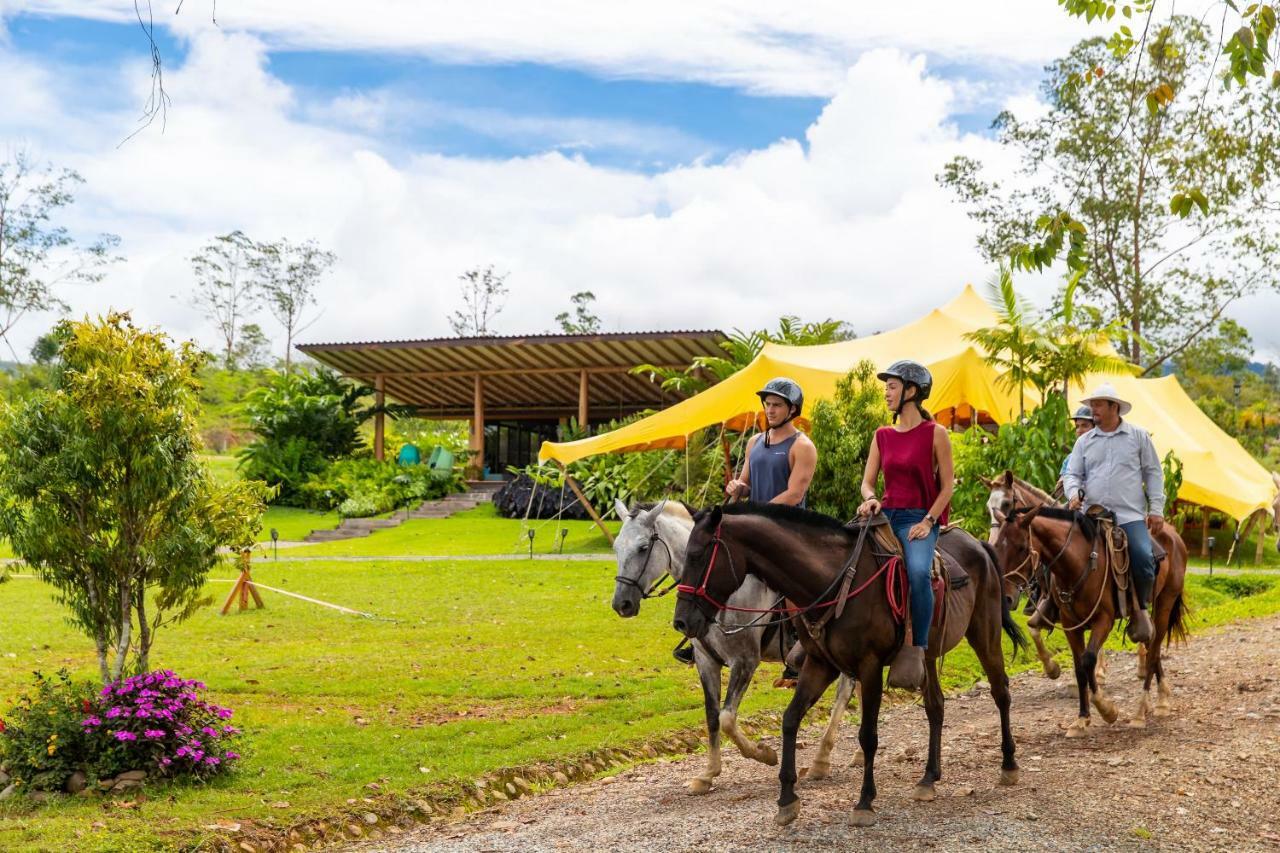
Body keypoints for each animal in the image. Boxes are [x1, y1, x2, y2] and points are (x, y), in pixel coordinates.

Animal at [611, 499, 860, 788]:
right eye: (616, 547)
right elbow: (712, 716)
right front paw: (708, 773)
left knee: (845, 690)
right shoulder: (706, 662)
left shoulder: (744, 662)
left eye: (643, 548)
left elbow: (727, 718)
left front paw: (764, 754)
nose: (621, 604)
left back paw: (824, 759)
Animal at [670, 502, 1018, 824]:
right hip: (928, 656)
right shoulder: (818, 664)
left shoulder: (869, 666)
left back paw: (1009, 765)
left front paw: (864, 802)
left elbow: (868, 734)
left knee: (1000, 692)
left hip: (985, 634)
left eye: (698, 556)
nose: (682, 622)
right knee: (936, 706)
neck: (834, 581)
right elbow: (789, 719)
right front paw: (786, 798)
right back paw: (929, 778)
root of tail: (978, 544)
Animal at [988, 468, 1187, 732]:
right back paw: (1160, 696)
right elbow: (1075, 663)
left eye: (1021, 547)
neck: (1077, 561)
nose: (1007, 597)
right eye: (999, 548)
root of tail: (1173, 534)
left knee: (1153, 650)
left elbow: (1089, 659)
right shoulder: (1067, 621)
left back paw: (1142, 710)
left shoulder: (1103, 619)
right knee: (1151, 644)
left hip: (1165, 602)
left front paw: (1106, 708)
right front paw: (1080, 715)